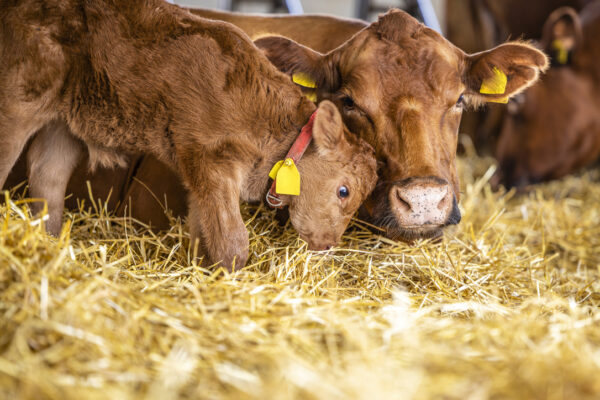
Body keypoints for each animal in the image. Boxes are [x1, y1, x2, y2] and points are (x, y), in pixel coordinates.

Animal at [0, 0, 378, 268]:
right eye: (343, 191)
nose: (328, 244)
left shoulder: (200, 176)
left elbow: (203, 230)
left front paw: (203, 272)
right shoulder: (210, 160)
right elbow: (232, 241)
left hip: (63, 120)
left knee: (47, 174)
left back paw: (48, 241)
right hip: (18, 99)